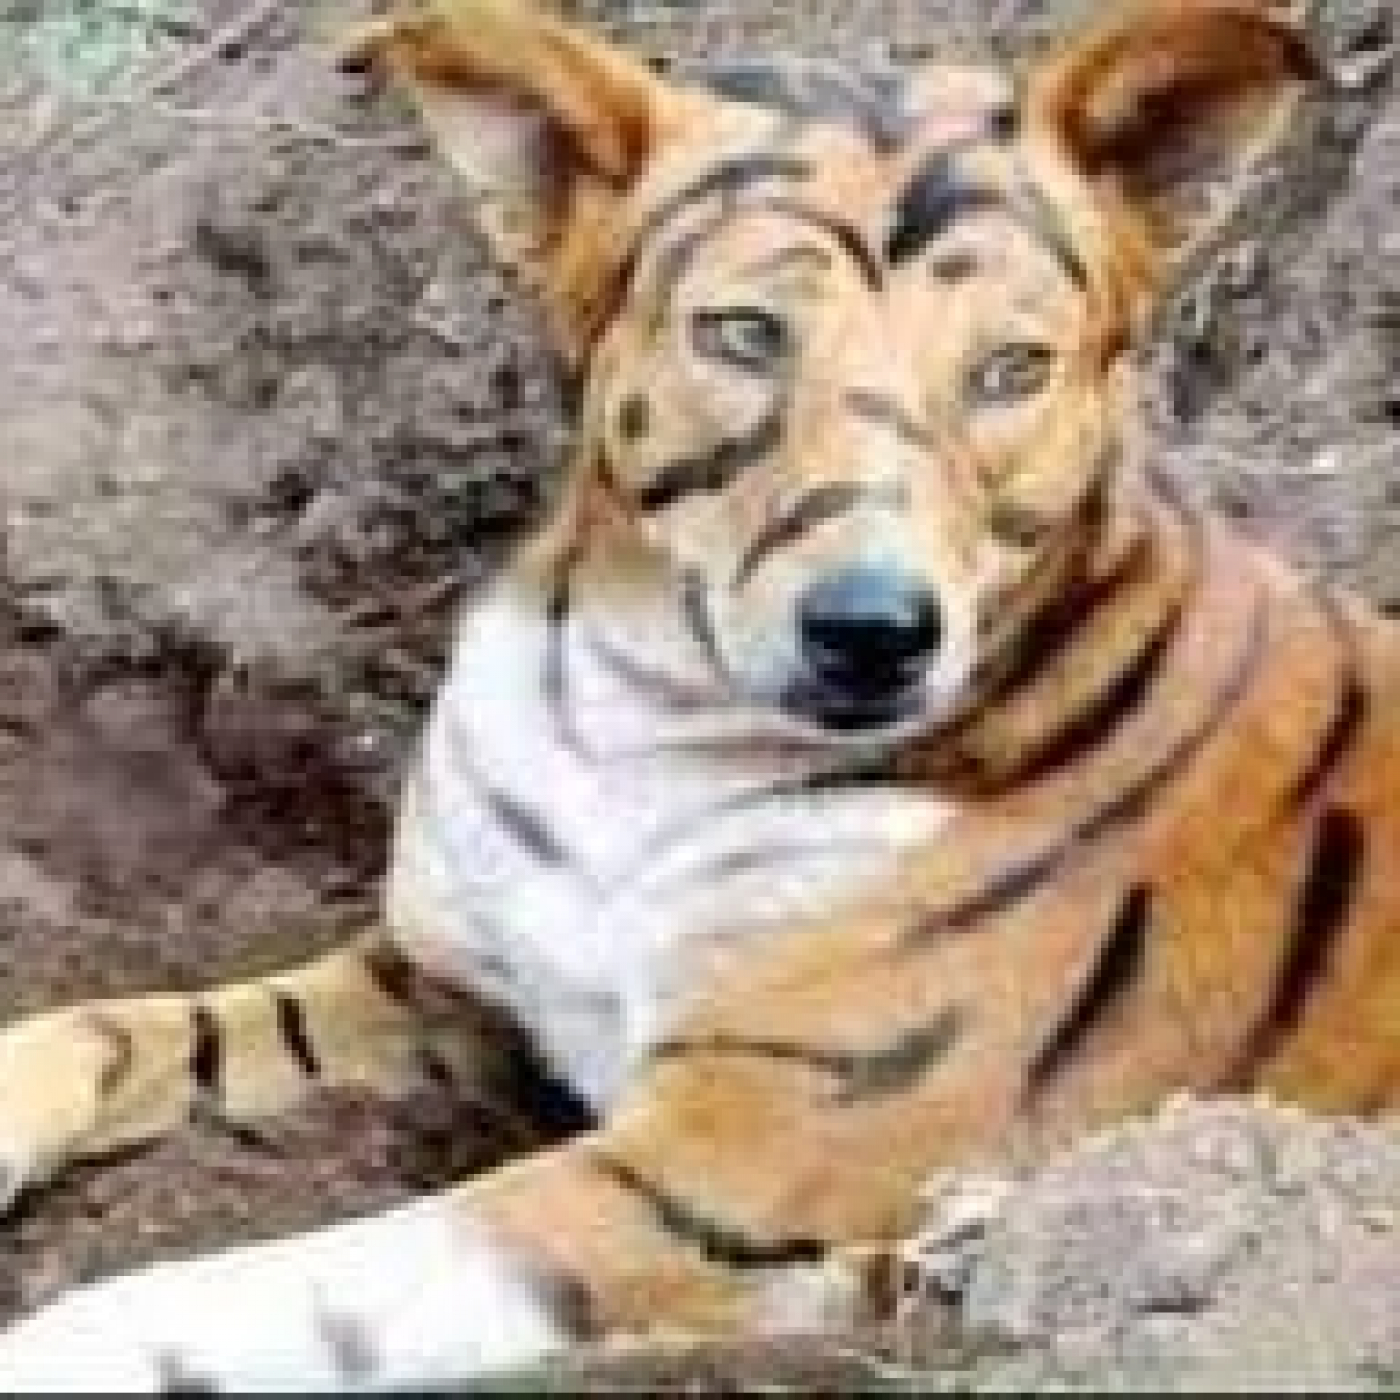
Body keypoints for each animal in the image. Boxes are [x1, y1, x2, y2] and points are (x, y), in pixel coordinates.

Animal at [0, 0, 1392, 1388]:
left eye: (1010, 367)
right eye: (745, 334)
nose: (873, 632)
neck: (640, 714)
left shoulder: (716, 1164)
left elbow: (265, 1289)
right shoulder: (444, 983)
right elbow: (106, 1028)